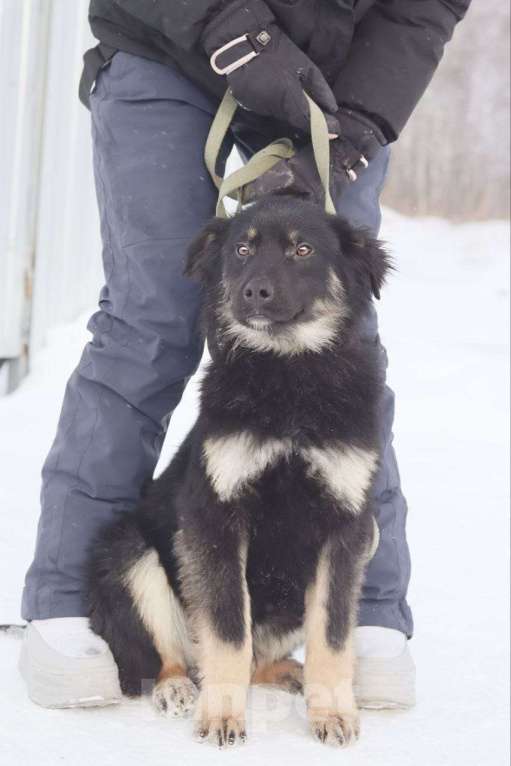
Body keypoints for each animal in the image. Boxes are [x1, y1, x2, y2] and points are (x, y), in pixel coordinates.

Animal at [89, 196, 392, 752]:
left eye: (302, 249)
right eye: (242, 250)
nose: (253, 291)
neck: (290, 374)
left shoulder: (346, 530)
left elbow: (332, 636)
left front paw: (333, 713)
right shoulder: (215, 520)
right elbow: (229, 632)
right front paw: (222, 718)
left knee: (258, 658)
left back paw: (288, 673)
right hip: (128, 551)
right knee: (175, 656)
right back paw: (178, 689)